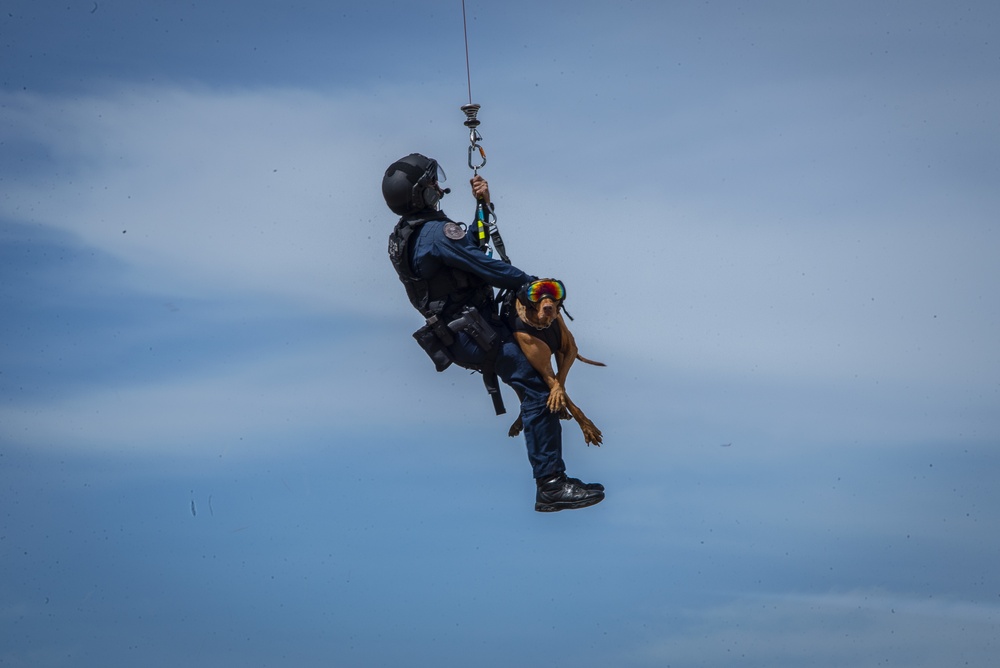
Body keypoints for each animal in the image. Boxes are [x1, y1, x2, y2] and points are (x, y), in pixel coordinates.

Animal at [504, 280, 604, 446]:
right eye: (535, 294)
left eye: (555, 292)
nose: (548, 308)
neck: (541, 324)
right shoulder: (542, 366)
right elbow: (554, 381)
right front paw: (588, 428)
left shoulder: (570, 350)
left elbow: (560, 381)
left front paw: (558, 399)